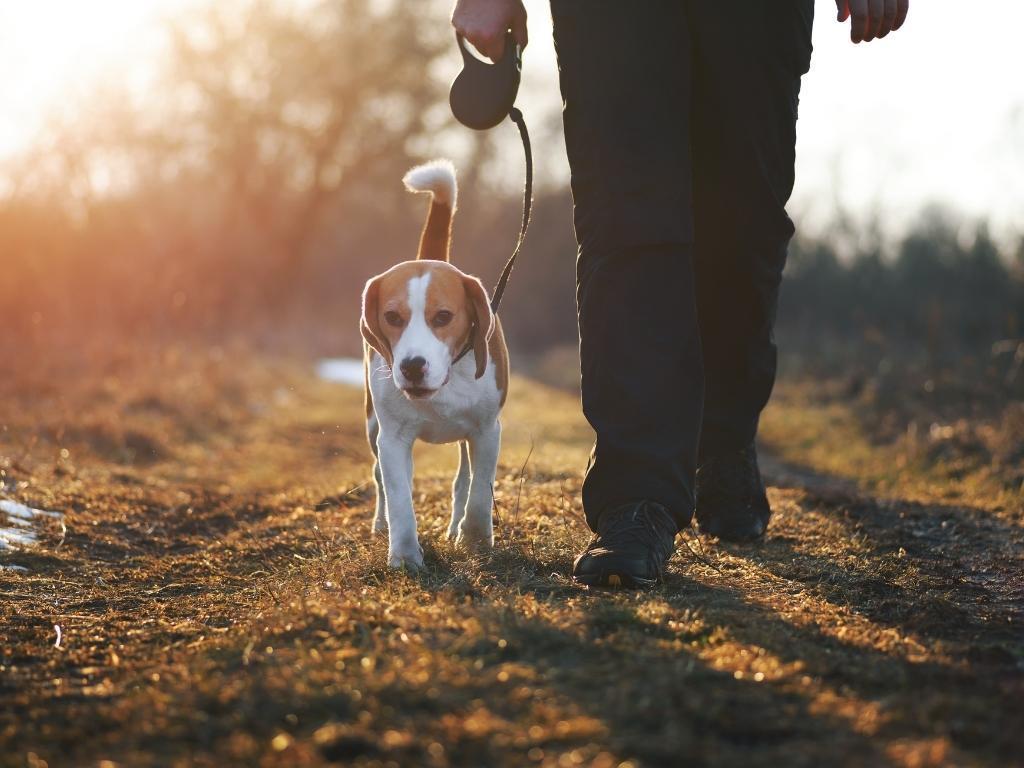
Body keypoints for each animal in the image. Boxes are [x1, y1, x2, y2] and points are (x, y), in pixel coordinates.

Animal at [360, 160, 507, 573]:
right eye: (392, 317)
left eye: (443, 317)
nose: (411, 367)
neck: (445, 383)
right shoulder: (392, 439)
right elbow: (399, 498)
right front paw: (405, 556)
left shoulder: (487, 431)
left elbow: (479, 491)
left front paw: (475, 541)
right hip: (372, 425)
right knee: (380, 479)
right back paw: (381, 524)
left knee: (463, 482)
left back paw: (457, 527)